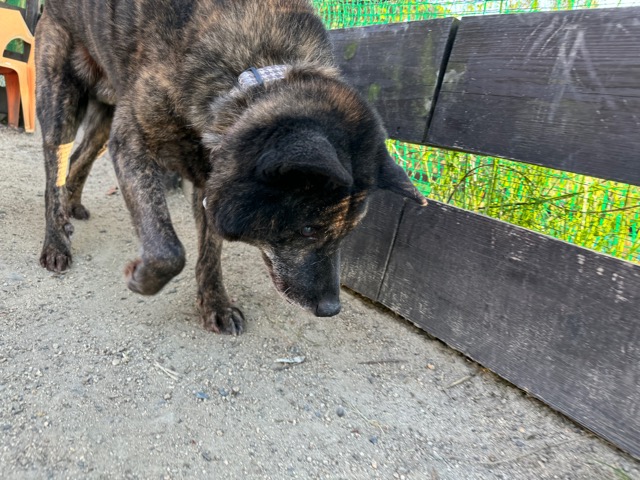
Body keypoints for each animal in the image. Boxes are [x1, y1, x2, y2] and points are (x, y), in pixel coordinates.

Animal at [36, 0, 427, 334]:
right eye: (307, 230)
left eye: (348, 233)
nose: (331, 309)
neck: (254, 75)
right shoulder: (131, 141)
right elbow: (169, 251)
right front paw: (140, 276)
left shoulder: (211, 178)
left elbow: (210, 253)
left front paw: (216, 305)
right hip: (59, 106)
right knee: (54, 173)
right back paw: (55, 243)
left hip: (103, 121)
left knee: (78, 160)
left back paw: (70, 210)